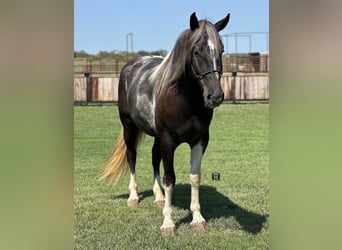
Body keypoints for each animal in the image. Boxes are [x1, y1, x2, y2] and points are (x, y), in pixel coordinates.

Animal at [101, 11, 230, 234]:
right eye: (196, 51)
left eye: (221, 50)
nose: (215, 96)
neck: (186, 101)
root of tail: (131, 66)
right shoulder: (169, 141)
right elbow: (170, 178)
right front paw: (168, 223)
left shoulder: (199, 141)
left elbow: (194, 177)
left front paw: (197, 219)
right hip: (129, 127)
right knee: (132, 157)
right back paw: (133, 197)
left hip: (156, 136)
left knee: (154, 158)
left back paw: (159, 196)